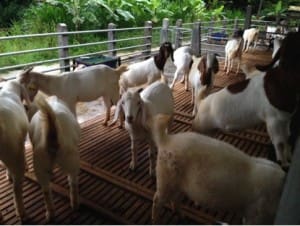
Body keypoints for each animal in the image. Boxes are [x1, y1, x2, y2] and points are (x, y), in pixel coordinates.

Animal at [150, 114, 286, 225]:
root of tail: (167, 140)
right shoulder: (256, 213)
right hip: (165, 177)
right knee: (157, 200)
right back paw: (157, 221)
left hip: (176, 182)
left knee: (175, 198)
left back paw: (182, 216)